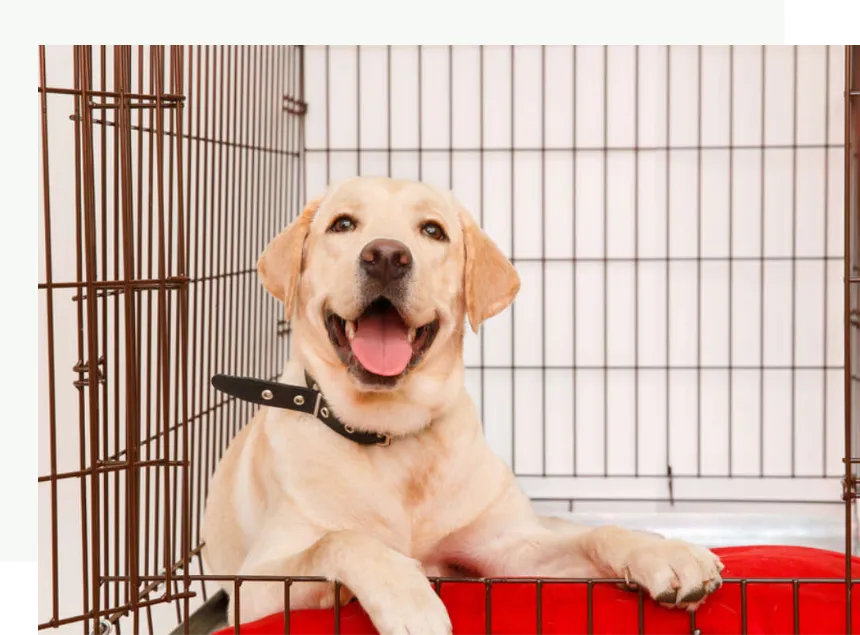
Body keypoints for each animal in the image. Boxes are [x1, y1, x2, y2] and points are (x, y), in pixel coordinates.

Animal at [198, 175, 724, 635]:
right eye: (343, 224)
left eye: (433, 231)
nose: (385, 256)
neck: (392, 435)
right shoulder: (255, 587)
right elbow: (341, 539)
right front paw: (409, 597)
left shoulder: (507, 551)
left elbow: (595, 535)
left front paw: (666, 557)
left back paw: (666, 542)